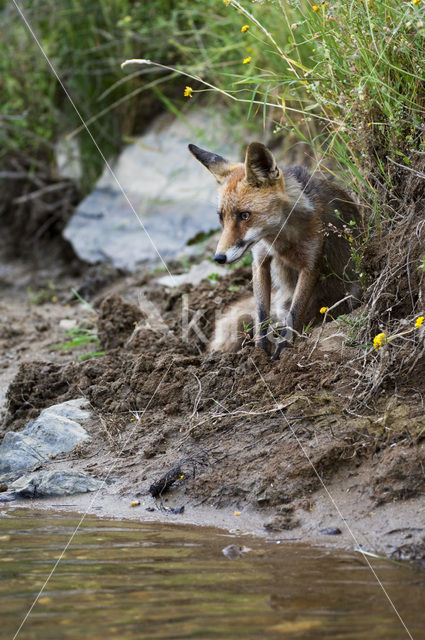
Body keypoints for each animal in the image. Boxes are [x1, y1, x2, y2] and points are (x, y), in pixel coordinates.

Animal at [187, 141, 360, 360]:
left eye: (244, 215)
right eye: (221, 217)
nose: (219, 257)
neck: (281, 241)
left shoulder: (311, 265)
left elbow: (295, 313)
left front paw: (282, 352)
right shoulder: (260, 261)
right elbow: (261, 314)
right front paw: (260, 351)